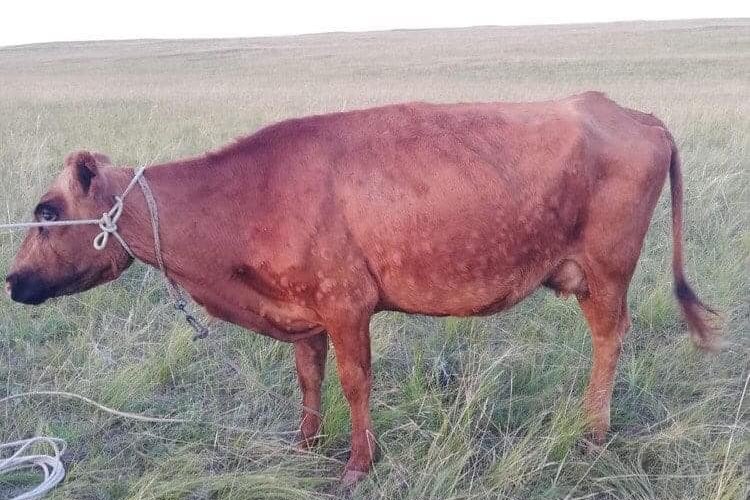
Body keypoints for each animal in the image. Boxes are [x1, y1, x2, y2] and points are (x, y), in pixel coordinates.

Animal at [4, 91, 716, 484]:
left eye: (46, 210)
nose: (11, 280)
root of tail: (630, 112)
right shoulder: (304, 313)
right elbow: (309, 381)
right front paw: (304, 447)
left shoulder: (347, 305)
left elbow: (354, 383)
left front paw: (356, 465)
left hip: (606, 272)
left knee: (609, 340)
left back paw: (593, 434)